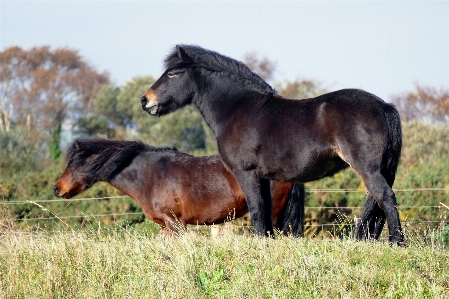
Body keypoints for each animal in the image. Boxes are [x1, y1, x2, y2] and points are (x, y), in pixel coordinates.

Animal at [140, 44, 402, 246]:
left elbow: (257, 209)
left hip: (367, 169)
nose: (145, 100)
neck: (238, 109)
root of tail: (383, 106)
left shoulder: (246, 173)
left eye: (174, 73)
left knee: (386, 197)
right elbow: (265, 212)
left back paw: (397, 242)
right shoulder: (264, 178)